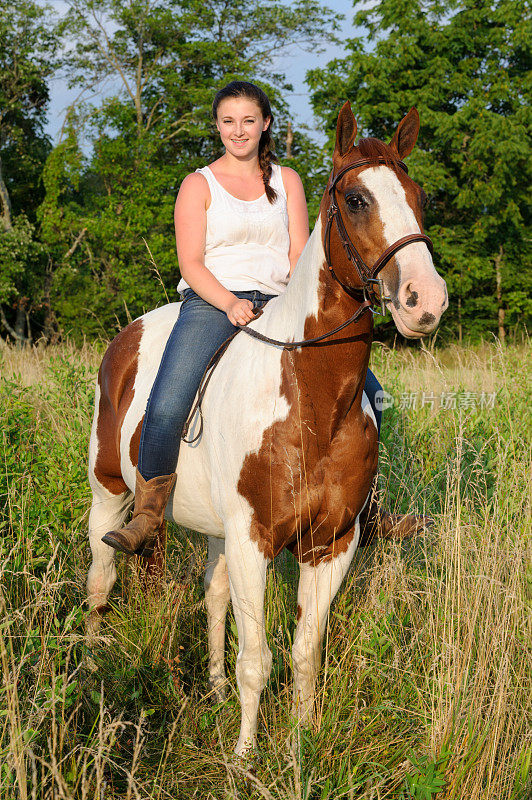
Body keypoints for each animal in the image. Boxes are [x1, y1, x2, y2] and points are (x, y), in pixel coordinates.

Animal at [86, 101, 448, 756]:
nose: (424, 300)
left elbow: (305, 653)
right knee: (101, 580)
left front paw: (301, 740)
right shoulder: (253, 539)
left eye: (419, 195)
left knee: (212, 595)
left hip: (215, 529)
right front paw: (246, 756)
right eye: (355, 198)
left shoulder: (331, 544)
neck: (310, 401)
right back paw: (94, 663)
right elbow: (257, 658)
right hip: (110, 492)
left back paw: (212, 690)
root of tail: (129, 334)